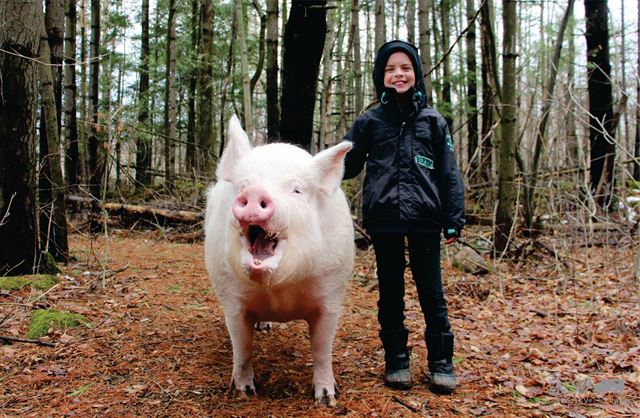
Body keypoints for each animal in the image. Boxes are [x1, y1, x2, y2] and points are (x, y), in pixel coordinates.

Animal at [205, 116, 356, 406]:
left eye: (297, 189)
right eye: (243, 185)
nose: (254, 192)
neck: (279, 294)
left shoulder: (332, 295)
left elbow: (322, 349)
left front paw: (327, 399)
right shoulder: (231, 298)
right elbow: (242, 348)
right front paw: (245, 392)